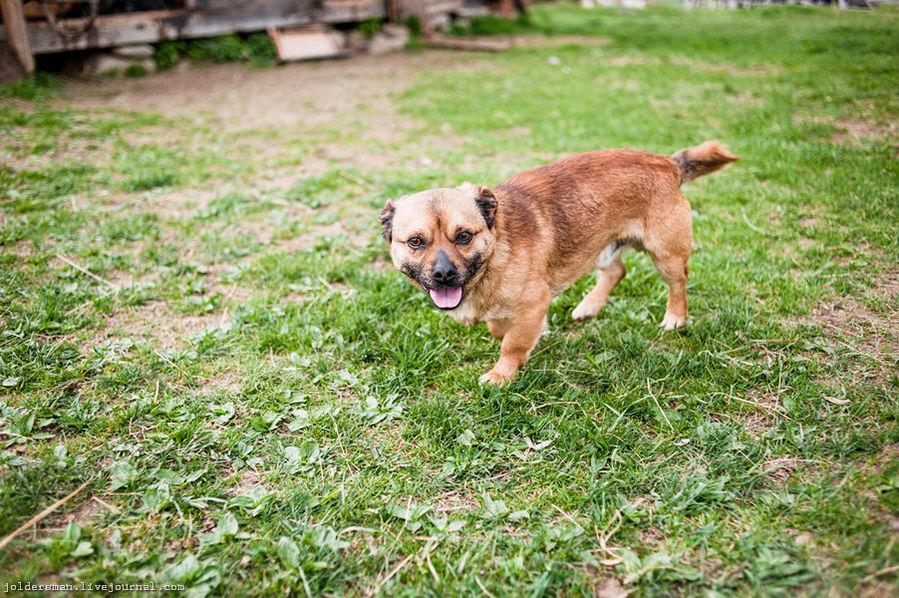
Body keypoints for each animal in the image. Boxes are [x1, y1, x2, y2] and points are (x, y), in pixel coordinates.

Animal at [380, 143, 740, 390]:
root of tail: (667, 163)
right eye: (416, 242)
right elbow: (500, 328)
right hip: (600, 245)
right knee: (616, 271)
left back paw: (675, 317)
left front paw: (502, 374)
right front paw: (530, 334)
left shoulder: (533, 302)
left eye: (464, 236)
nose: (443, 275)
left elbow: (512, 343)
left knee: (678, 282)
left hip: (665, 254)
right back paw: (589, 307)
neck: (496, 251)